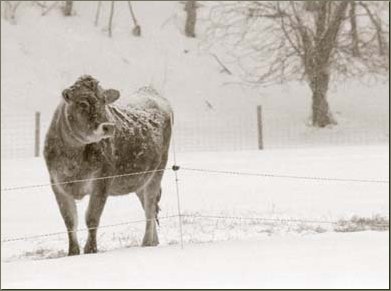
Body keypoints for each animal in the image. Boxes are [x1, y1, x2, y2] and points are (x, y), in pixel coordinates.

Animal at [43, 75, 172, 256]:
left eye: (104, 101)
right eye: (82, 103)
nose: (109, 126)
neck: (72, 158)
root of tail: (149, 91)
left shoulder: (102, 180)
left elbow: (92, 217)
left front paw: (91, 250)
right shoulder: (57, 183)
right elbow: (69, 220)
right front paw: (72, 252)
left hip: (157, 171)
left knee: (150, 206)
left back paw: (147, 242)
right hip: (140, 179)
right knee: (150, 208)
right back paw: (154, 242)